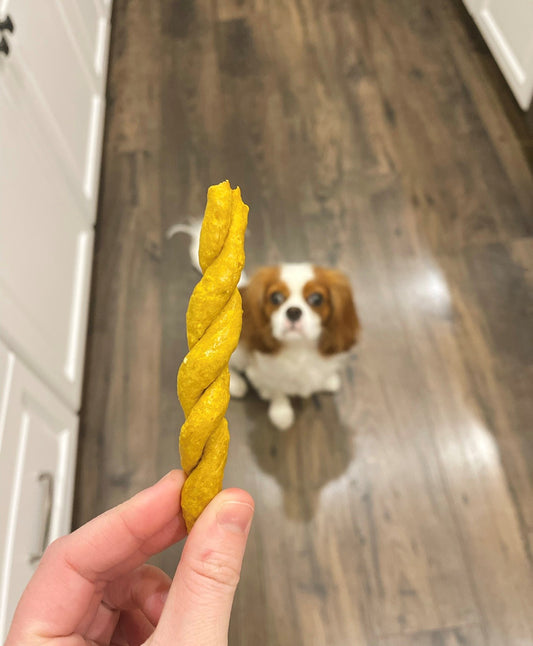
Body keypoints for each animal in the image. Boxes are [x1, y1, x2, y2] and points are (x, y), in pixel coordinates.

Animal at [169, 221, 362, 430]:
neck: (299, 349)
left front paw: (327, 381)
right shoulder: (263, 374)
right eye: (275, 298)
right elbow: (277, 392)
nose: (293, 311)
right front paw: (281, 414)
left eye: (317, 299)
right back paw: (236, 385)